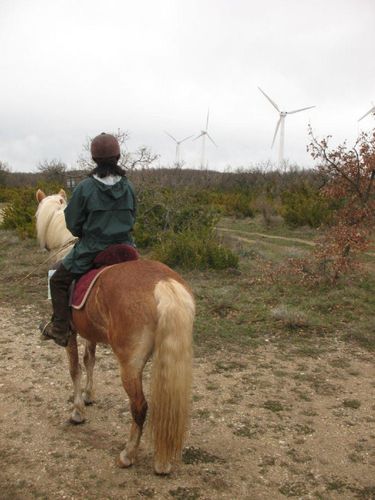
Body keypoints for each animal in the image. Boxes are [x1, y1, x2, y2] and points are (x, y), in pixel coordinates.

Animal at [35, 188, 195, 472]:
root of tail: (163, 283)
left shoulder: (71, 333)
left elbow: (74, 369)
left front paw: (77, 411)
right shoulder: (90, 333)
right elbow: (89, 360)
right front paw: (89, 396)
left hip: (130, 364)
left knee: (140, 406)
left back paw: (128, 455)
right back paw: (162, 460)